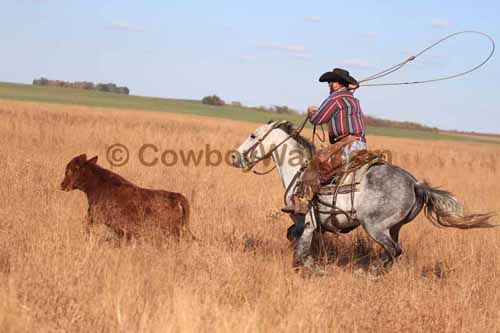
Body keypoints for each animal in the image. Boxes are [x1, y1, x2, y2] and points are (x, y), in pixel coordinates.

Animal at [230, 120, 496, 266]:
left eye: (253, 135)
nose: (234, 156)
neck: (298, 170)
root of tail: (415, 184)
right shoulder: (302, 225)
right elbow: (294, 240)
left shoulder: (305, 221)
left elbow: (300, 251)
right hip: (393, 228)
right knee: (393, 253)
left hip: (374, 226)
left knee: (393, 251)